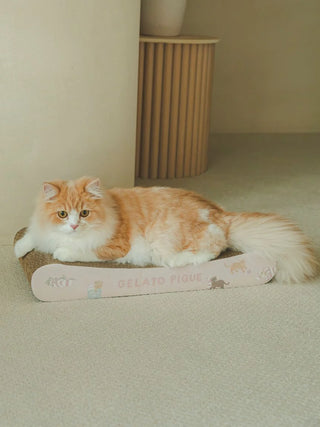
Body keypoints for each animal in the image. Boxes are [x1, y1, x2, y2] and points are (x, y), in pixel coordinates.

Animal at [14, 177, 318, 284]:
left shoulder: (113, 246)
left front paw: (62, 251)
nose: (75, 225)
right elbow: (30, 236)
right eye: (63, 214)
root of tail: (221, 213)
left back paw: (178, 262)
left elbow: (77, 251)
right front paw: (19, 248)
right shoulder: (40, 229)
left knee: (213, 249)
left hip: (166, 242)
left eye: (85, 213)